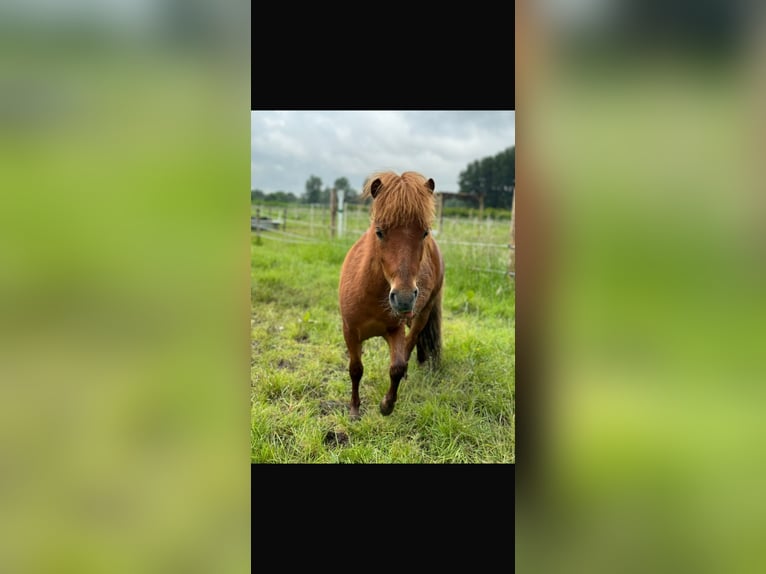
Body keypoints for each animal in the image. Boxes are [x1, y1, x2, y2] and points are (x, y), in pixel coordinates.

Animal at [340, 170, 448, 418]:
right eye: (379, 232)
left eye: (424, 232)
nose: (404, 298)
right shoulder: (350, 331)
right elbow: (355, 369)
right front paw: (354, 410)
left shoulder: (394, 330)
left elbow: (397, 367)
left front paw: (386, 406)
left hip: (423, 313)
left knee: (412, 341)